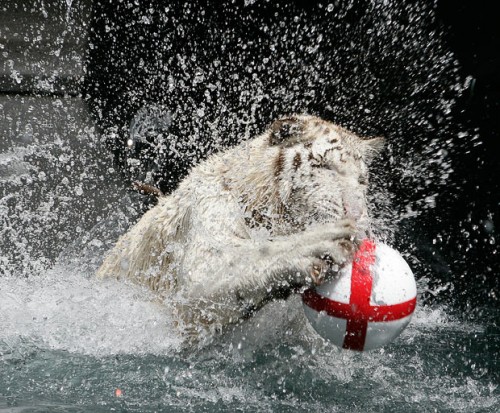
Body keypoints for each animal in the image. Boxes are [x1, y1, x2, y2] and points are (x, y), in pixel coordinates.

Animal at [96, 113, 382, 342]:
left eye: (362, 180)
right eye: (326, 167)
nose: (357, 216)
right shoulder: (206, 212)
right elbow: (241, 257)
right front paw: (326, 241)